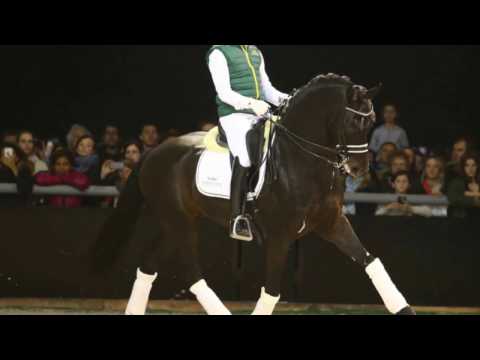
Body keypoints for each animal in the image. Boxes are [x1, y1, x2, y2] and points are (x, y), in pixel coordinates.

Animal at [93, 73, 416, 316]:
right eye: (353, 122)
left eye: (372, 121)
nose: (359, 168)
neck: (302, 160)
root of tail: (154, 151)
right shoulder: (280, 235)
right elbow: (271, 291)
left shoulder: (332, 223)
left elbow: (371, 262)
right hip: (180, 222)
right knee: (193, 274)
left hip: (176, 220)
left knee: (148, 265)